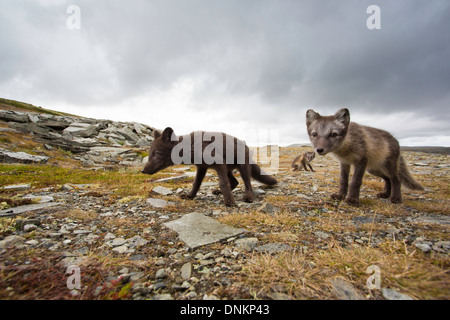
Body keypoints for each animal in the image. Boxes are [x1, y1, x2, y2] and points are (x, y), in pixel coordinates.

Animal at [142, 126, 276, 206]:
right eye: (149, 154)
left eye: (157, 154)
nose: (143, 171)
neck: (191, 147)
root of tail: (246, 145)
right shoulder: (202, 167)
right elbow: (196, 184)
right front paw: (190, 196)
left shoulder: (219, 163)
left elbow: (223, 183)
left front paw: (229, 201)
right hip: (228, 169)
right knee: (235, 182)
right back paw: (218, 191)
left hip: (242, 167)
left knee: (247, 183)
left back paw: (248, 197)